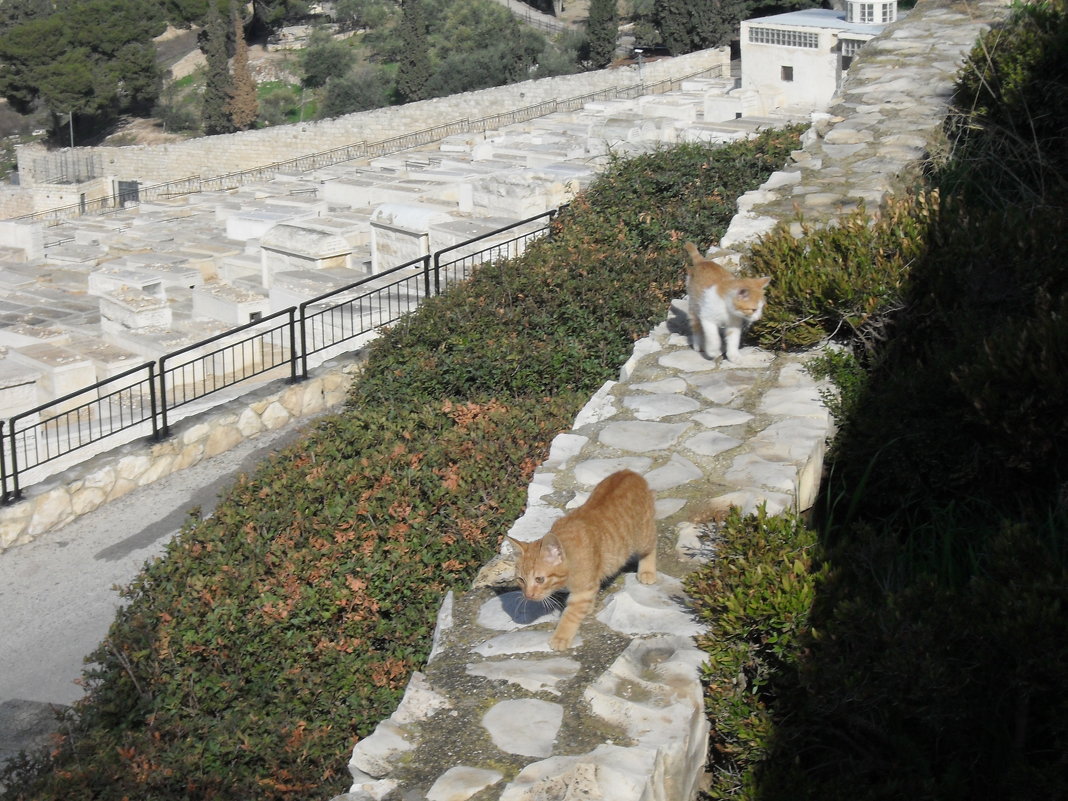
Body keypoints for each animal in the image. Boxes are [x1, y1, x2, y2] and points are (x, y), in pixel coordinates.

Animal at [504, 469, 653, 653]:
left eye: (539, 579)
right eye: (521, 580)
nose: (528, 595)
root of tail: (629, 473)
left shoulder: (582, 591)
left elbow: (571, 614)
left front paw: (561, 637)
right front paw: (588, 608)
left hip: (642, 536)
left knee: (651, 546)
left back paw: (647, 571)